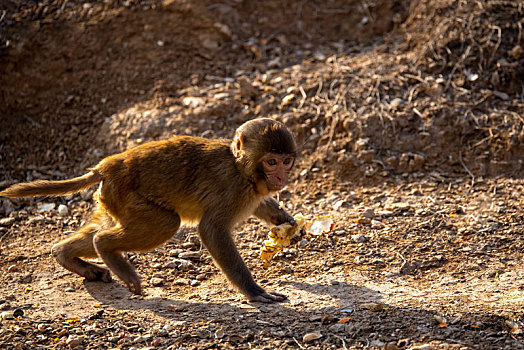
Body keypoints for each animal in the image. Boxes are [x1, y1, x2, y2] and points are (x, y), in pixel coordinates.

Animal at [0, 118, 296, 304]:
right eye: (271, 162)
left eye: (286, 162)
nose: (281, 177)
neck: (242, 169)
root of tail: (107, 166)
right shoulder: (232, 190)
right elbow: (211, 230)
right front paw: (254, 291)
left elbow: (263, 205)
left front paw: (287, 222)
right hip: (127, 195)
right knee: (164, 223)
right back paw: (106, 249)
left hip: (112, 199)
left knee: (103, 227)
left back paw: (67, 256)